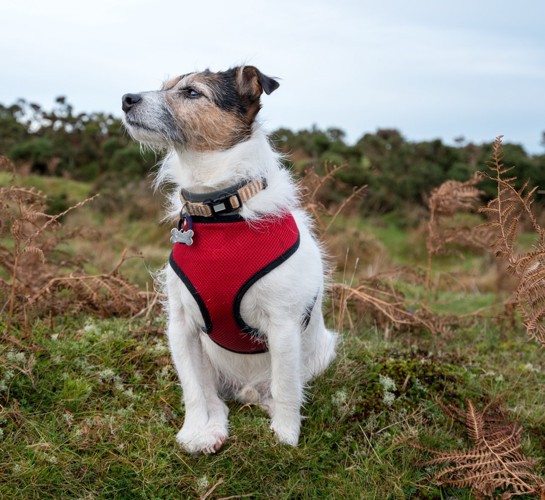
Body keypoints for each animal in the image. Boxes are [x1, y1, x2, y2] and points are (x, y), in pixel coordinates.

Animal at [122, 65, 336, 454]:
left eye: (192, 92)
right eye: (164, 86)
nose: (126, 99)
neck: (218, 210)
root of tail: (246, 391)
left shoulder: (283, 325)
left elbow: (286, 387)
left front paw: (286, 436)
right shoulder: (181, 326)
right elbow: (192, 389)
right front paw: (193, 430)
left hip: (321, 350)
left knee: (282, 387)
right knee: (213, 396)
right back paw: (212, 430)